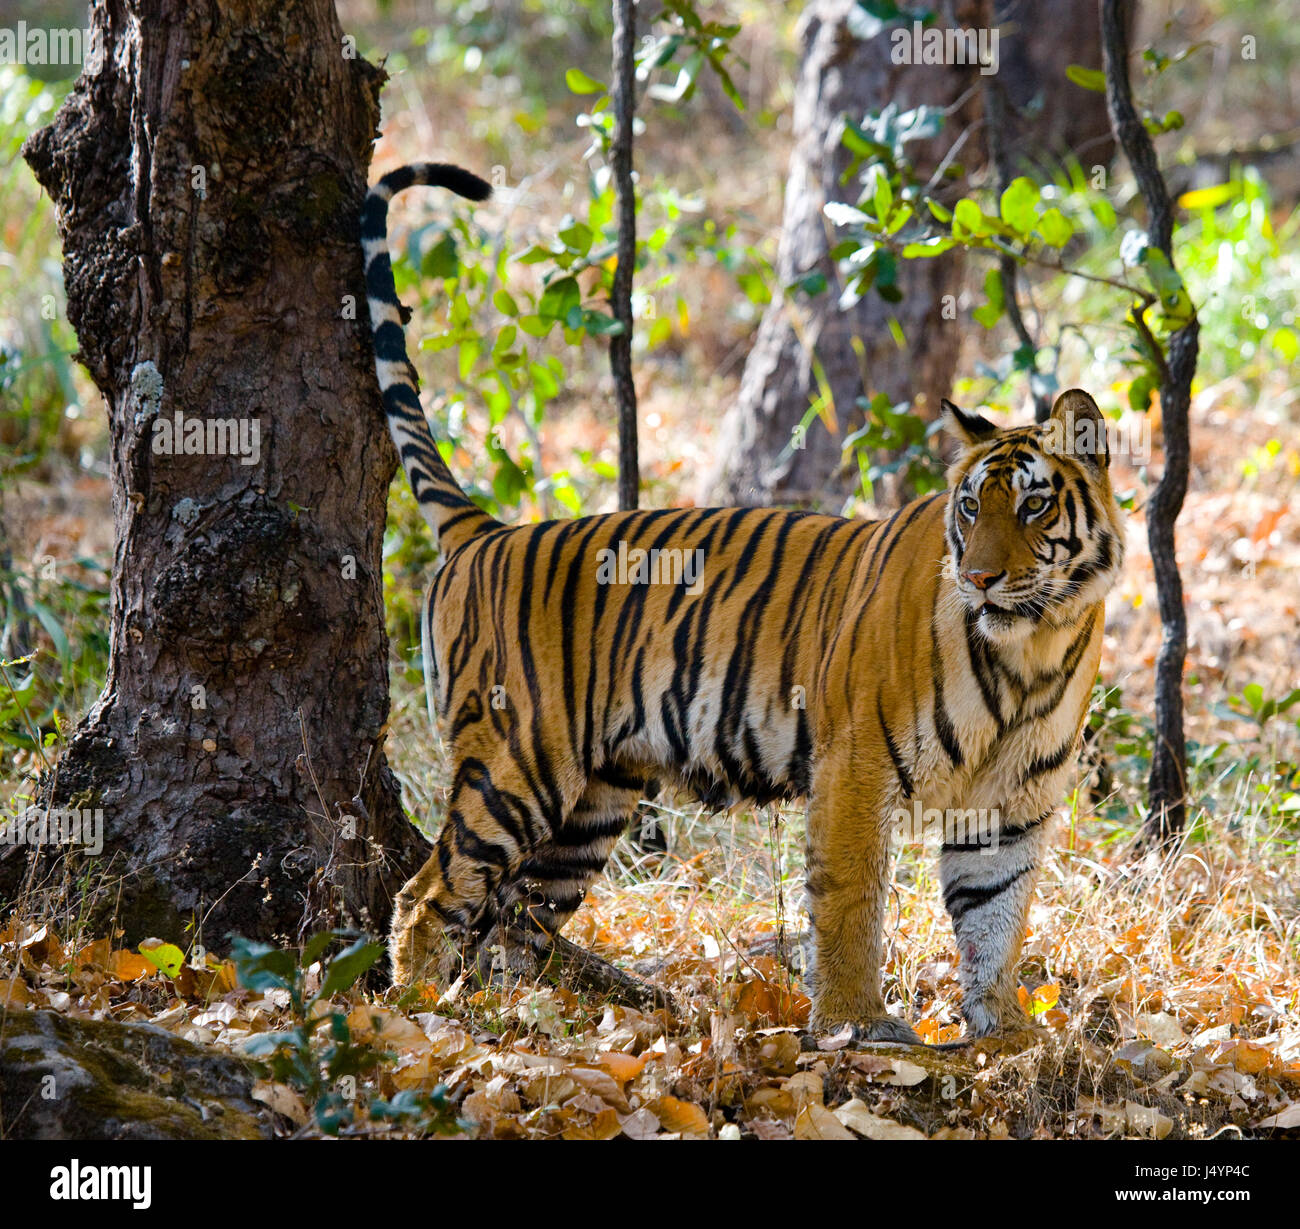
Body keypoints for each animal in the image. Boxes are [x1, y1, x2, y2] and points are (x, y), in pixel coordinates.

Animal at [361, 163, 1123, 1040]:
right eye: (970, 507)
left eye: (1032, 506)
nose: (980, 577)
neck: (1032, 647)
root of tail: (489, 532)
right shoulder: (855, 765)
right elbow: (851, 902)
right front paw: (859, 1024)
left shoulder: (1010, 807)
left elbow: (996, 919)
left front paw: (1004, 1031)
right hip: (517, 764)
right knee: (428, 896)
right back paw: (418, 1014)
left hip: (590, 806)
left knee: (515, 921)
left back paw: (520, 1022)